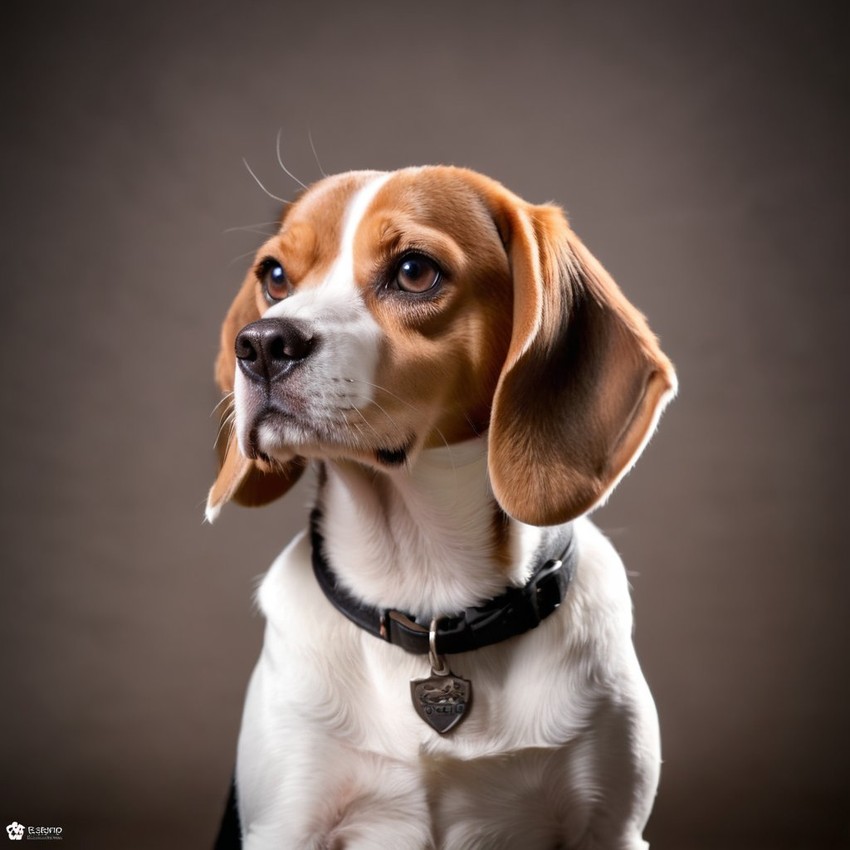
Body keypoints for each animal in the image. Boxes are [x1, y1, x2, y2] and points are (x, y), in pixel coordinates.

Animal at [205, 166, 676, 848]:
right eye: (274, 276)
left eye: (413, 270)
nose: (262, 344)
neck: (425, 589)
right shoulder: (285, 824)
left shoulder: (610, 829)